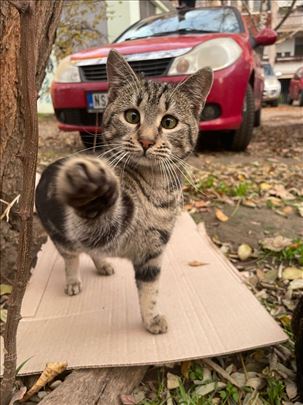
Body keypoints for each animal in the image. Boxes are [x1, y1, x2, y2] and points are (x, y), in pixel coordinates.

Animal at [35, 49, 214, 334]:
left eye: (169, 122)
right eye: (132, 116)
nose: (146, 140)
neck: (155, 189)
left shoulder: (153, 253)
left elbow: (150, 290)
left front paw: (151, 320)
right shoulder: (102, 226)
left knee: (92, 252)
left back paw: (103, 265)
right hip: (61, 236)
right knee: (71, 258)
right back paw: (73, 280)